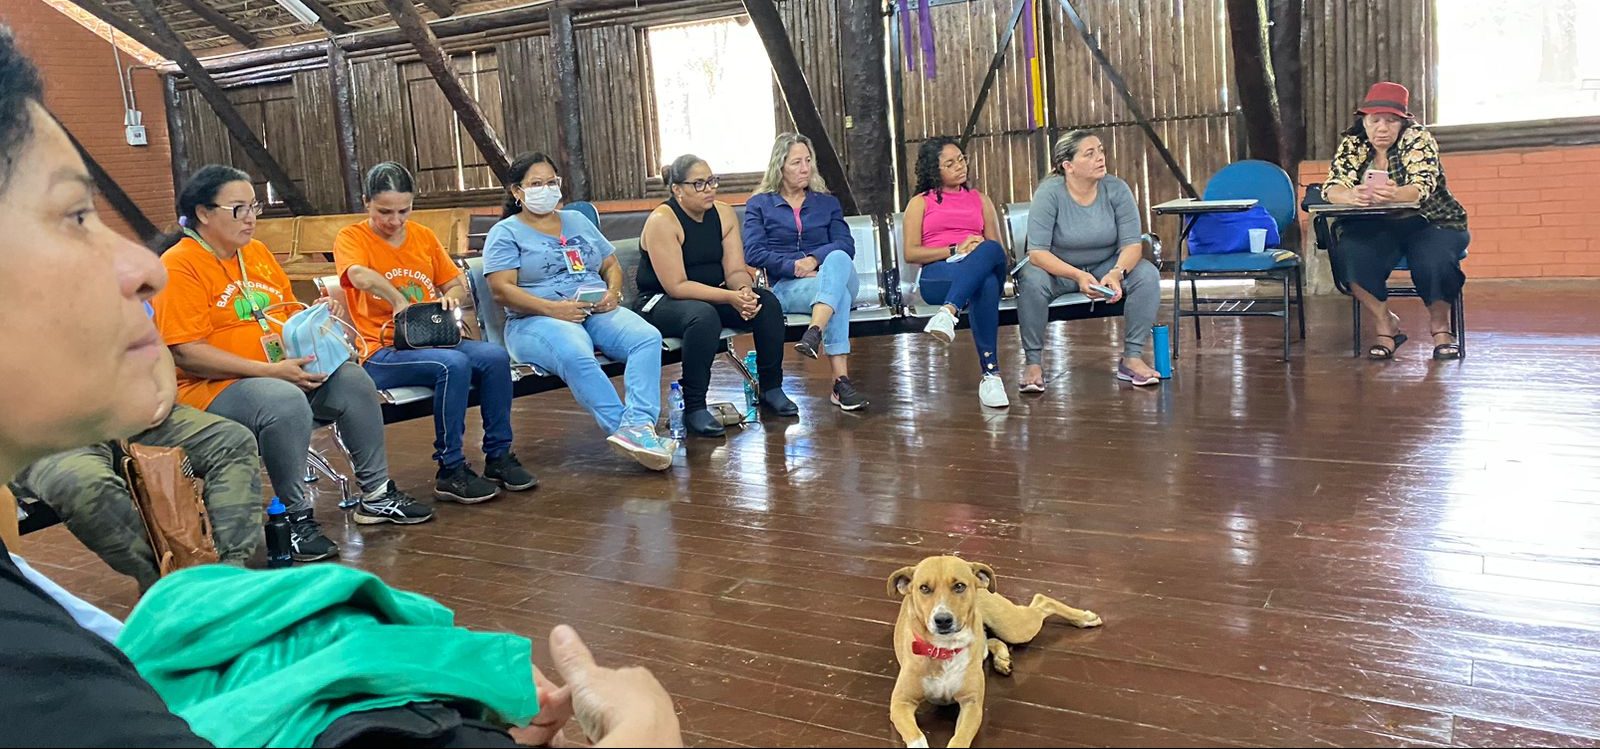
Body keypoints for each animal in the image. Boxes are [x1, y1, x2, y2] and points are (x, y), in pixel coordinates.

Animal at [889, 553, 1100, 745]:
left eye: (959, 586)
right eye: (924, 588)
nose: (942, 620)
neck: (945, 649)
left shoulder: (972, 705)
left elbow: (959, 739)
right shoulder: (900, 703)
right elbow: (917, 737)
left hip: (1014, 627)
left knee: (1042, 602)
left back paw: (1084, 618)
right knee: (992, 640)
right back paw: (1002, 659)